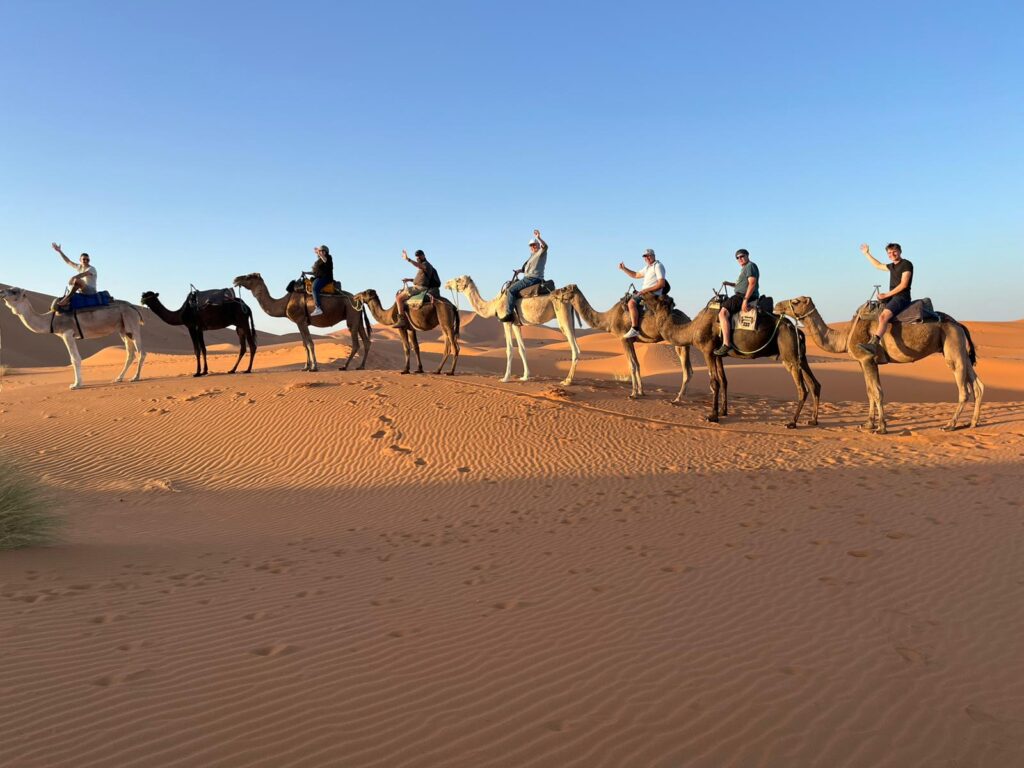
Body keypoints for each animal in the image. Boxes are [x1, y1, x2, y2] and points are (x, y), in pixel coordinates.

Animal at [0, 286, 145, 389]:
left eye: (14, 291)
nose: (1, 291)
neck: (51, 319)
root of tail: (134, 308)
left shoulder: (67, 333)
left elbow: (75, 359)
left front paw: (76, 385)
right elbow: (75, 358)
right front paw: (78, 383)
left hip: (132, 324)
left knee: (141, 352)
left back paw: (136, 377)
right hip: (123, 330)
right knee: (130, 353)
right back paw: (118, 378)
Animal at [233, 273, 370, 372]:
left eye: (248, 277)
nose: (236, 279)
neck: (285, 302)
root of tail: (359, 299)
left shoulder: (302, 321)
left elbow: (310, 343)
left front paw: (314, 367)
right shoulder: (299, 323)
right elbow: (304, 344)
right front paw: (305, 367)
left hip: (352, 316)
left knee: (356, 343)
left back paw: (345, 366)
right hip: (358, 319)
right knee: (366, 341)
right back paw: (361, 366)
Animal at [444, 275, 581, 385]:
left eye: (458, 279)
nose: (446, 283)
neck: (495, 304)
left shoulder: (507, 322)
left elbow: (509, 350)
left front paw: (505, 378)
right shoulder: (516, 324)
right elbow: (522, 349)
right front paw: (525, 376)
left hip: (563, 316)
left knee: (575, 349)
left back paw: (567, 380)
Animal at [775, 296, 983, 433]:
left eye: (796, 301)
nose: (777, 305)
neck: (845, 335)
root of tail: (959, 325)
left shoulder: (867, 359)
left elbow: (877, 392)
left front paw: (881, 427)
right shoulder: (865, 362)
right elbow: (870, 391)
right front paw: (868, 424)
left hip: (952, 348)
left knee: (964, 389)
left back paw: (950, 425)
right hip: (960, 350)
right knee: (977, 385)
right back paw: (973, 423)